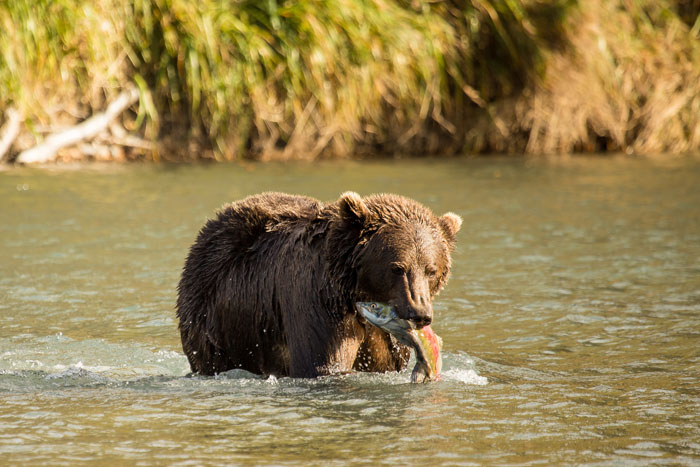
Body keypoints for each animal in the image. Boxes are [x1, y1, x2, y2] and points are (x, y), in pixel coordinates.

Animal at [176, 191, 461, 378]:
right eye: (397, 267)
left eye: (431, 270)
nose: (419, 313)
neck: (352, 290)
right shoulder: (316, 301)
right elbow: (321, 362)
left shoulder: (384, 337)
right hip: (216, 318)